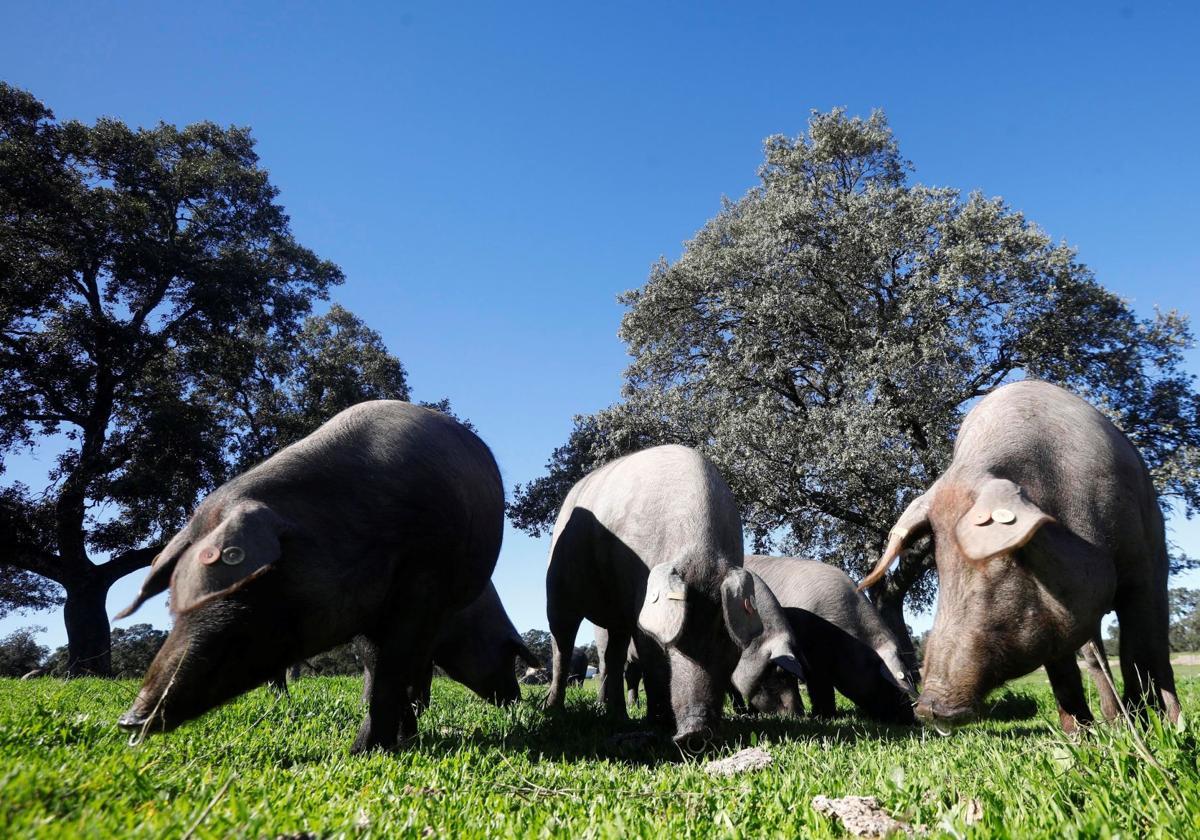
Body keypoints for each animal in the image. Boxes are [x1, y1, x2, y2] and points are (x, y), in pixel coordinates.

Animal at [544, 444, 805, 748]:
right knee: (562, 646)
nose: (697, 732)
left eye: (727, 642)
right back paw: (553, 710)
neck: (700, 558)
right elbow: (653, 668)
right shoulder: (642, 608)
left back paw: (619, 717)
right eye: (672, 644)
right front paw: (660, 725)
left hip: (617, 616)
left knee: (613, 657)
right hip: (557, 589)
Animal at [859, 380, 1181, 731]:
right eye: (941, 565)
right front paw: (1079, 736)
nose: (929, 708)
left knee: (1147, 651)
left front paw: (1157, 728)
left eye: (1002, 560)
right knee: (1094, 659)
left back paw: (1151, 721)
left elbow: (1140, 653)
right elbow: (1063, 675)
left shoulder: (1141, 570)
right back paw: (1115, 722)